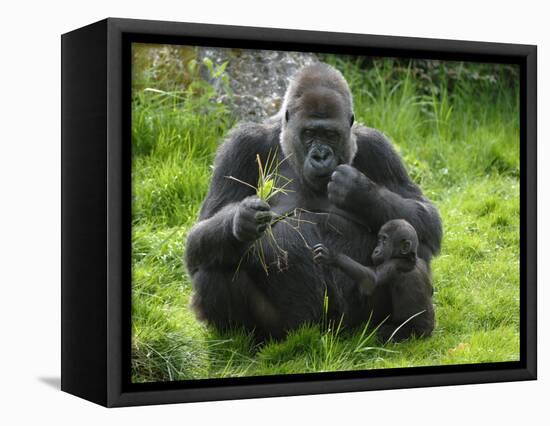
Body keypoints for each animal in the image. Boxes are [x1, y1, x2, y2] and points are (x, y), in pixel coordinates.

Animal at [185, 62, 444, 340]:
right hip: (289, 327)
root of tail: (327, 331)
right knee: (215, 263)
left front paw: (359, 192)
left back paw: (407, 328)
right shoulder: (242, 144)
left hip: (359, 323)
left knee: (411, 250)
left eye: (330, 135)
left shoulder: (378, 146)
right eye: (309, 133)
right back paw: (247, 340)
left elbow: (426, 218)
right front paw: (242, 219)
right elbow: (199, 236)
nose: (320, 156)